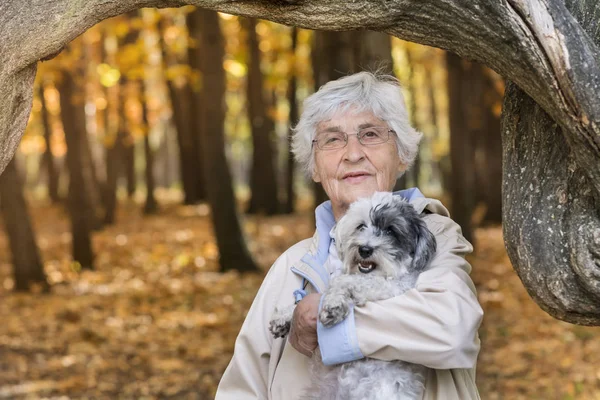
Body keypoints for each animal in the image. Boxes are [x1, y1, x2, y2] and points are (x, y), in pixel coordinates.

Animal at [270, 192, 436, 398]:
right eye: (361, 226)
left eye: (391, 231)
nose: (364, 249)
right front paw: (283, 317)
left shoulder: (393, 288)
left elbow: (344, 282)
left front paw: (333, 305)